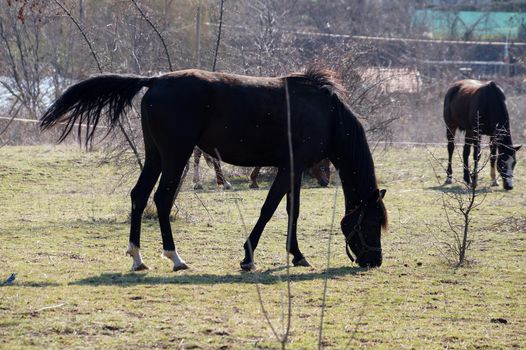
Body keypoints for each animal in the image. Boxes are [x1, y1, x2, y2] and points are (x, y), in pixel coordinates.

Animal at [40, 67, 388, 270]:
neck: (326, 114)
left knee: (139, 196)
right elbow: (269, 209)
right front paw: (248, 257)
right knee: (162, 199)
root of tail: (155, 80)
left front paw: (297, 254)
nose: (374, 261)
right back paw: (175, 258)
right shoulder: (289, 169)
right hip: (175, 156)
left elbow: (292, 211)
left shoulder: (293, 170)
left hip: (155, 157)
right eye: (371, 223)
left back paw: (138, 258)